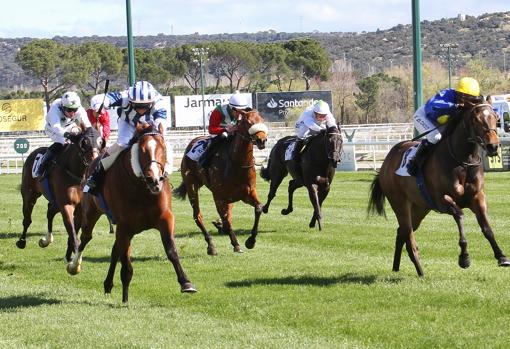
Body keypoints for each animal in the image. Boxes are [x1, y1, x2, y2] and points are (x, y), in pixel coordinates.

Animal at [16, 126, 103, 262]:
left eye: (101, 142)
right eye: (84, 143)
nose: (95, 161)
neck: (76, 174)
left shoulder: (79, 208)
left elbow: (73, 231)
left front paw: (69, 255)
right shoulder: (66, 205)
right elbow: (72, 232)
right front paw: (75, 257)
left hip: (55, 201)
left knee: (50, 211)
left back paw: (46, 239)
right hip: (29, 194)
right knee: (27, 219)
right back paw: (22, 241)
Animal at [67, 123, 195, 304]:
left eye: (163, 148)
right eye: (142, 150)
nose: (154, 179)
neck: (142, 189)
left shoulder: (165, 218)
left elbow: (171, 250)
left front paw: (186, 282)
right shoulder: (124, 226)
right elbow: (126, 265)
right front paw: (125, 298)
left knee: (115, 249)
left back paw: (108, 284)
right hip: (92, 213)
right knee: (86, 238)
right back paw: (74, 266)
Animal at [173, 109, 268, 253]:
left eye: (261, 119)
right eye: (247, 121)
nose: (262, 139)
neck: (237, 164)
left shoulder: (248, 193)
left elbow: (258, 208)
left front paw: (251, 241)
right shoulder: (219, 197)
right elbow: (226, 219)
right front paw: (236, 244)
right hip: (192, 186)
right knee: (197, 216)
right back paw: (211, 245)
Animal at [368, 102, 510, 276]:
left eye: (495, 117)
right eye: (476, 120)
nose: (493, 146)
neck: (463, 160)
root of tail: (386, 163)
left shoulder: (477, 197)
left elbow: (487, 228)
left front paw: (501, 256)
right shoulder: (441, 200)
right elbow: (460, 215)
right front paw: (464, 257)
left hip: (419, 208)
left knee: (401, 232)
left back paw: (396, 268)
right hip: (399, 203)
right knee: (408, 235)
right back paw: (420, 271)